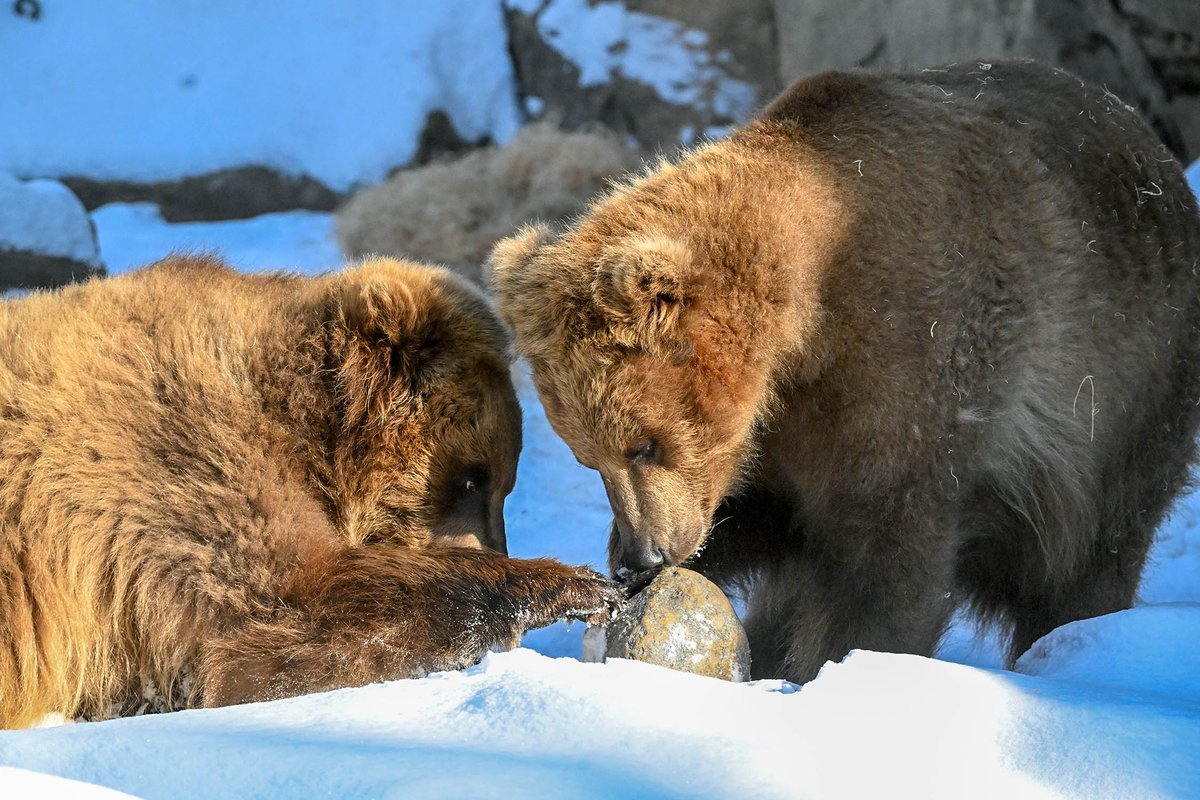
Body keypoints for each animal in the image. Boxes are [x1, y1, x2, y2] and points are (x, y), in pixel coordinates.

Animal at [0, 254, 619, 728]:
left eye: (501, 484)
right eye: (472, 478)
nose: (493, 546)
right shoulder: (176, 464)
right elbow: (281, 618)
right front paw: (576, 585)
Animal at [488, 60, 1200, 683]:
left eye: (644, 443)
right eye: (588, 459)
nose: (642, 557)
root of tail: (1162, 158)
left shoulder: (911, 360)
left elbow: (888, 554)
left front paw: (853, 665)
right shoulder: (778, 437)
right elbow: (761, 518)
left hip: (1127, 399)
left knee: (1091, 555)